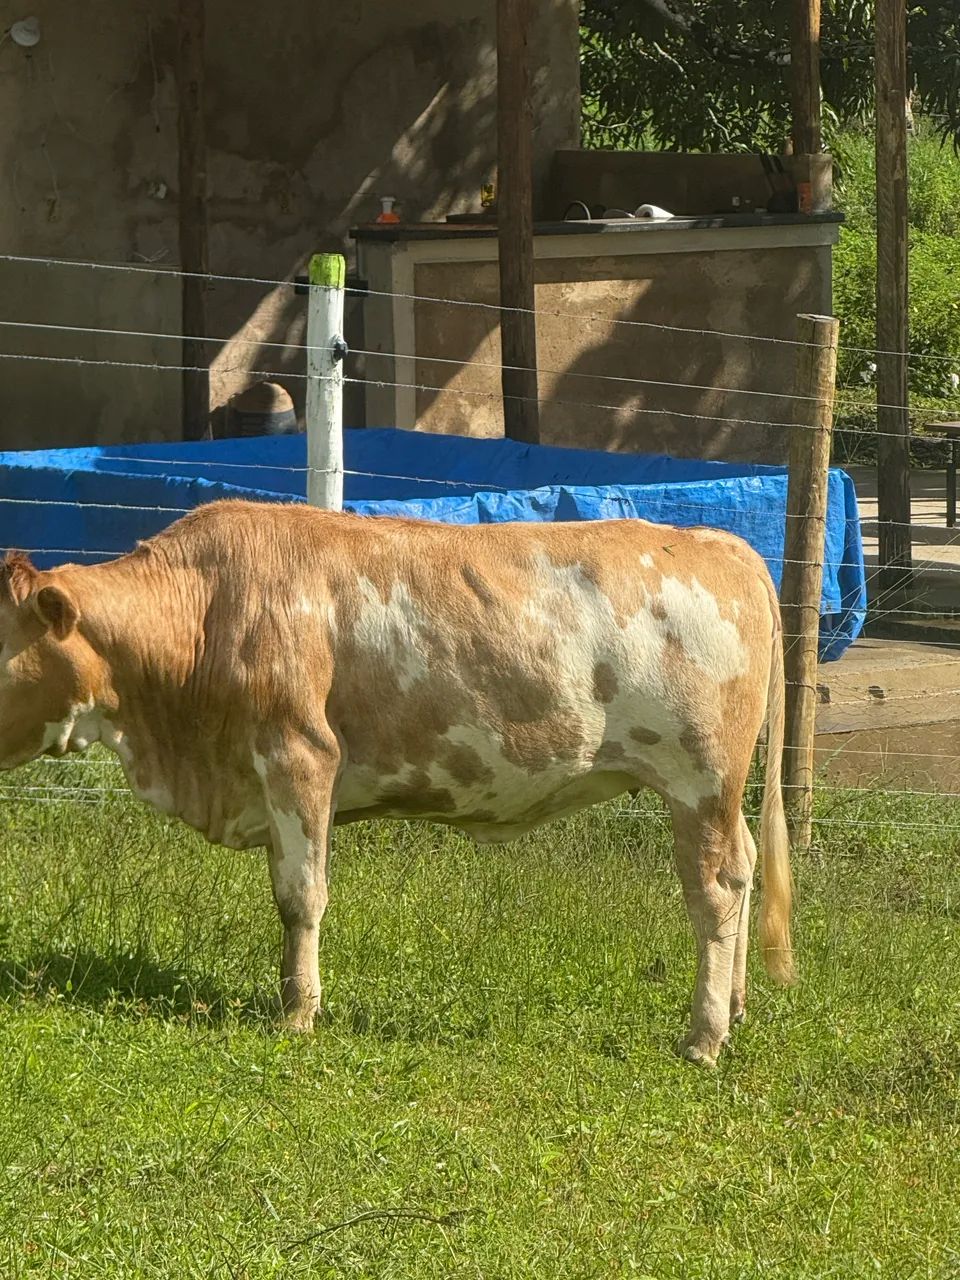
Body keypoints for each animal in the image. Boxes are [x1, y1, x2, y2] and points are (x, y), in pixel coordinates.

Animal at [0, 500, 794, 1065]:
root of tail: (720, 544)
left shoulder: (299, 755)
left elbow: (302, 896)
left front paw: (298, 1013)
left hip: (700, 780)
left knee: (716, 888)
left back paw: (704, 1036)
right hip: (721, 794)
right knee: (747, 867)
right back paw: (737, 1007)